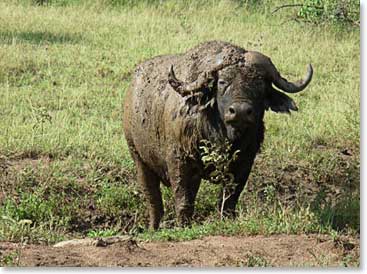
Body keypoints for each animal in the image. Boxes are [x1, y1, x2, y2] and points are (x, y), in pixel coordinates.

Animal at [123, 40, 314, 229]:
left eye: (260, 83)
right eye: (222, 82)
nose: (240, 112)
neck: (220, 135)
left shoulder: (245, 162)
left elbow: (229, 198)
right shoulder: (178, 160)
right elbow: (183, 200)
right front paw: (183, 226)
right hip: (138, 157)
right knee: (153, 199)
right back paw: (153, 227)